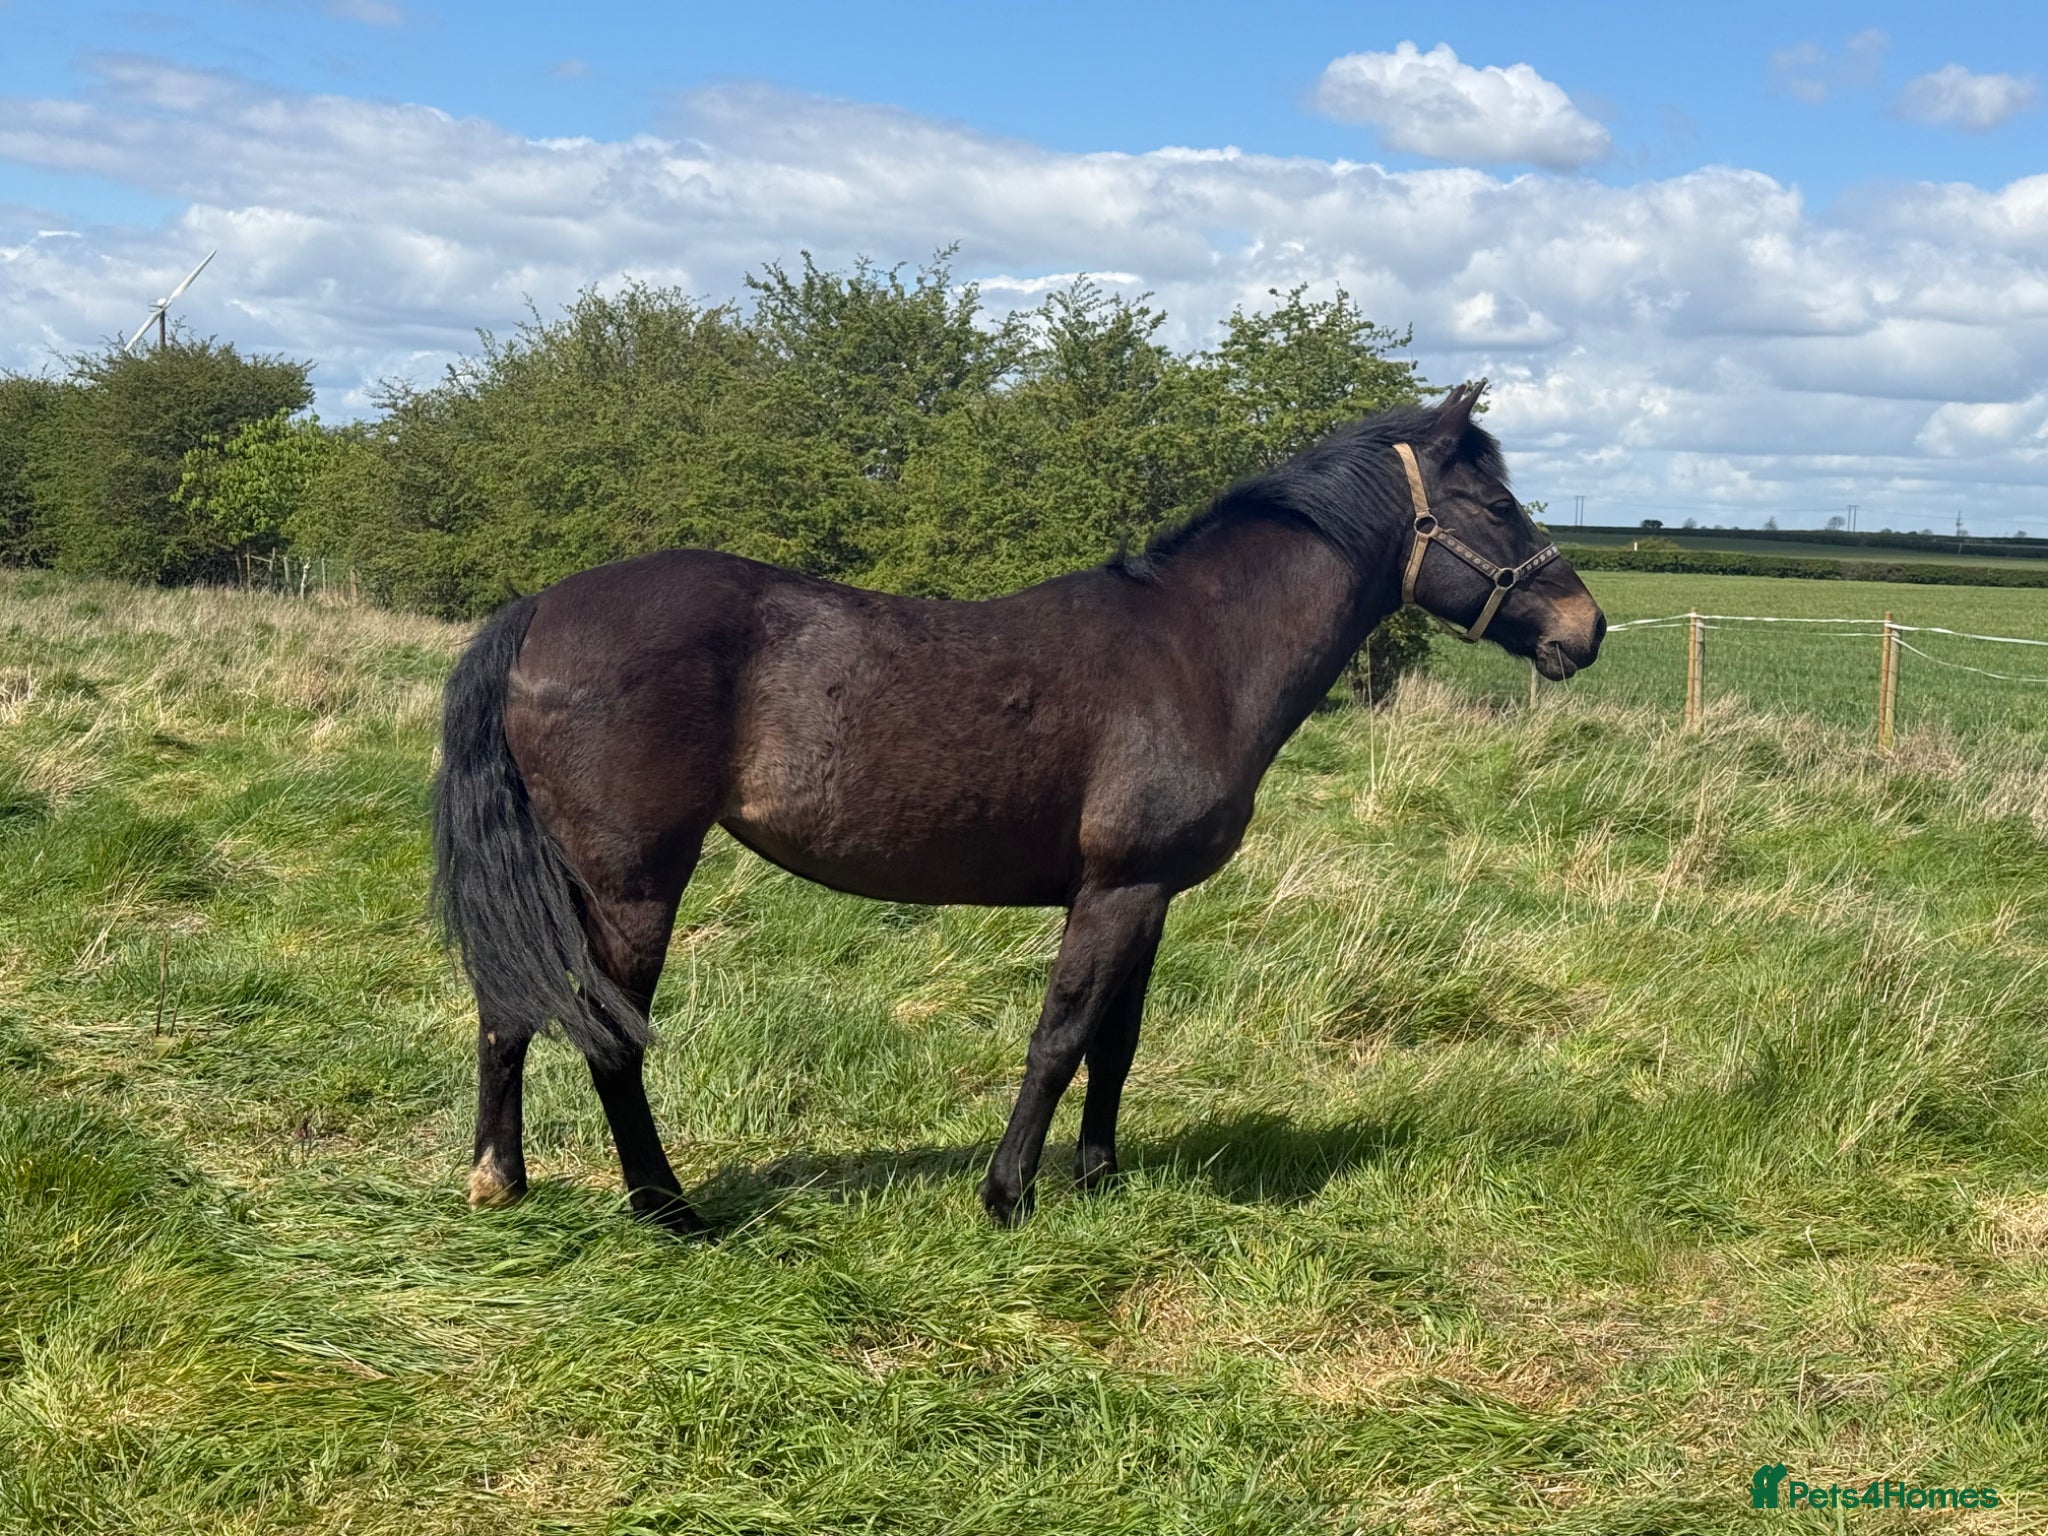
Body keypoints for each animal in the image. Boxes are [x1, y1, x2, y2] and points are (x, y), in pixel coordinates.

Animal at [432, 381, 1605, 1233]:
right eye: (1497, 506)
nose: (1584, 629)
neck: (1198, 649)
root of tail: (541, 608)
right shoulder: (1116, 891)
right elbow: (1060, 1036)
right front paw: (1007, 1195)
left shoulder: (1146, 896)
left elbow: (1117, 1042)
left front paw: (1101, 1177)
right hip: (632, 883)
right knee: (608, 1035)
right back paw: (667, 1210)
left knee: (506, 1008)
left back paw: (502, 1180)